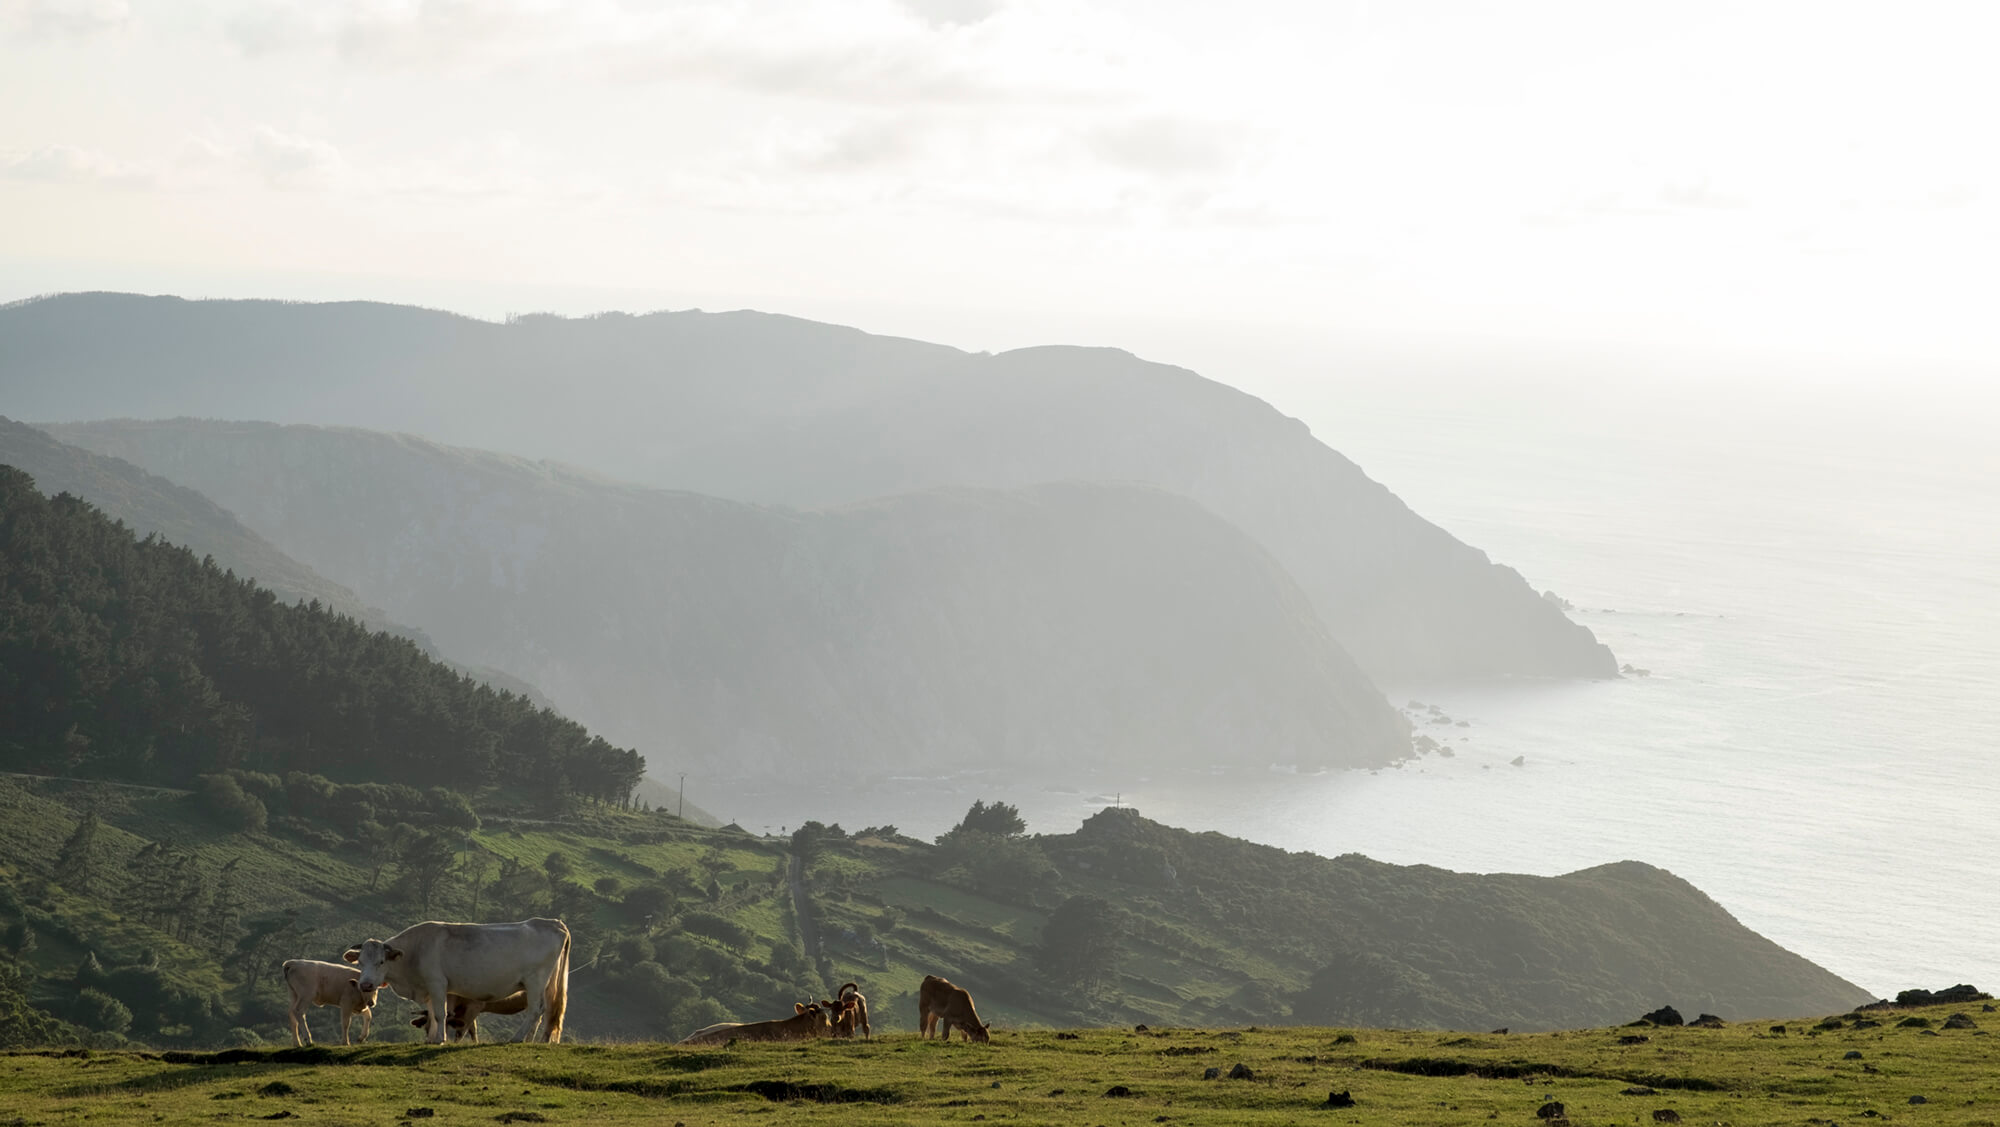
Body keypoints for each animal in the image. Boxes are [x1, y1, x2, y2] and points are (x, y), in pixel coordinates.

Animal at [344, 919, 572, 1047]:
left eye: (381, 962)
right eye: (360, 962)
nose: (365, 985)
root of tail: (552, 922)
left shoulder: (437, 983)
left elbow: (440, 1014)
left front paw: (439, 1039)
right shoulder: (430, 989)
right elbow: (431, 1015)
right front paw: (431, 1038)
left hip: (535, 981)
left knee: (535, 1010)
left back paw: (517, 1038)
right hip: (547, 984)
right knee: (545, 1011)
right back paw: (535, 1040)